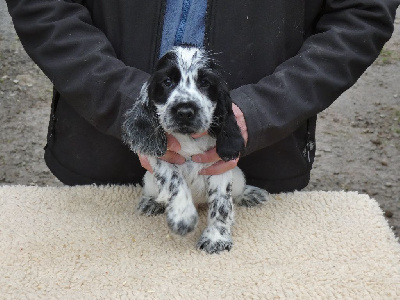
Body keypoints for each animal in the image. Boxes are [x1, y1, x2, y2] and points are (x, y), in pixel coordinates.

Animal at [122, 46, 268, 253]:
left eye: (205, 83)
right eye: (167, 82)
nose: (184, 111)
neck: (189, 138)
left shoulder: (219, 166)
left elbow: (221, 203)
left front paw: (216, 238)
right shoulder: (162, 159)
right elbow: (175, 182)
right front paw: (183, 217)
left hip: (238, 176)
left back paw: (250, 195)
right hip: (149, 180)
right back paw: (151, 202)